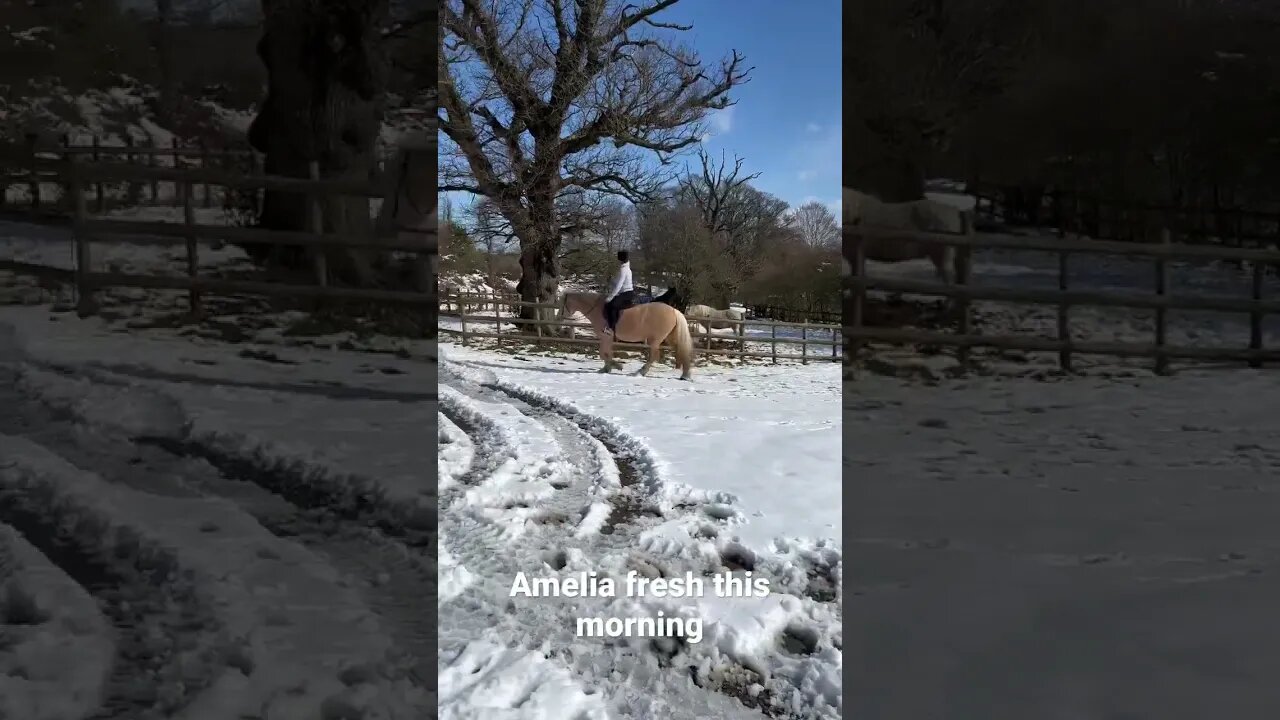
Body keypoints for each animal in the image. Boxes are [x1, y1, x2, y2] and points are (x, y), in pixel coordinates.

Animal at [560, 292, 696, 381]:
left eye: (563, 303)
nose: (562, 318)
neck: (598, 310)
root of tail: (674, 310)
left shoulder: (606, 337)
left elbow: (603, 353)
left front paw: (617, 366)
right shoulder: (607, 339)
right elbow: (606, 353)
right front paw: (606, 369)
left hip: (655, 340)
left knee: (654, 356)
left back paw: (640, 372)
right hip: (670, 338)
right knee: (680, 351)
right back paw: (685, 375)